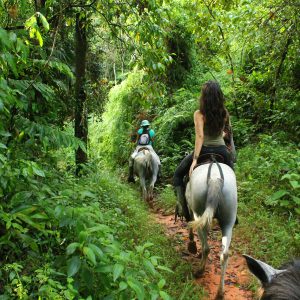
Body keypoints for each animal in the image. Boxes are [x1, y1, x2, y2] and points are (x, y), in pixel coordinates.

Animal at [185, 163, 237, 298]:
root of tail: (215, 179)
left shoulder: (191, 208)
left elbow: (190, 223)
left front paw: (192, 245)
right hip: (228, 220)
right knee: (224, 254)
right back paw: (220, 293)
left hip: (198, 213)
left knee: (206, 247)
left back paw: (199, 271)